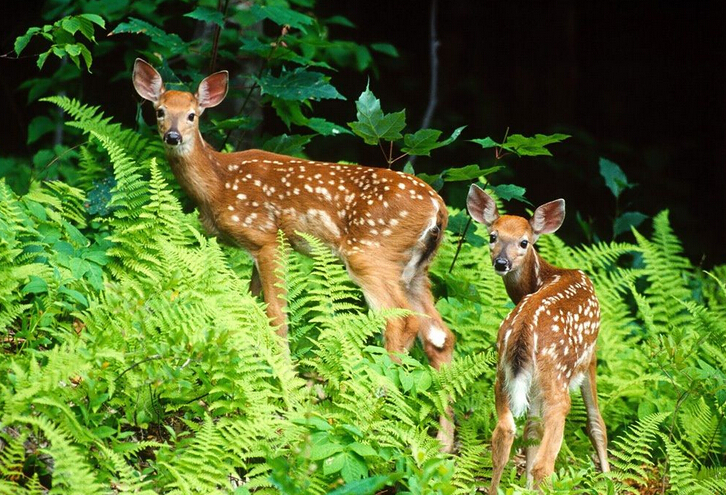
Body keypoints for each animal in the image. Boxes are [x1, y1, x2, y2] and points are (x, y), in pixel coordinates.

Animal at [132, 60, 456, 452]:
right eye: (160, 111)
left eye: (193, 115)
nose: (173, 136)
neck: (219, 185)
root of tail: (438, 209)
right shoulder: (254, 249)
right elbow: (249, 311)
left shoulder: (268, 237)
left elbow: (276, 318)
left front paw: (286, 393)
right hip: (416, 269)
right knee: (440, 335)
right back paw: (443, 444)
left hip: (371, 252)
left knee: (400, 322)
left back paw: (373, 412)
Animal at [466, 185, 608, 492]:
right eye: (493, 236)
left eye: (524, 242)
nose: (502, 262)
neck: (547, 275)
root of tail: (522, 330)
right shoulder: (591, 354)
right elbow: (596, 424)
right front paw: (608, 480)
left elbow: (530, 430)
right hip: (556, 377)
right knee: (546, 460)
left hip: (502, 372)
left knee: (504, 433)